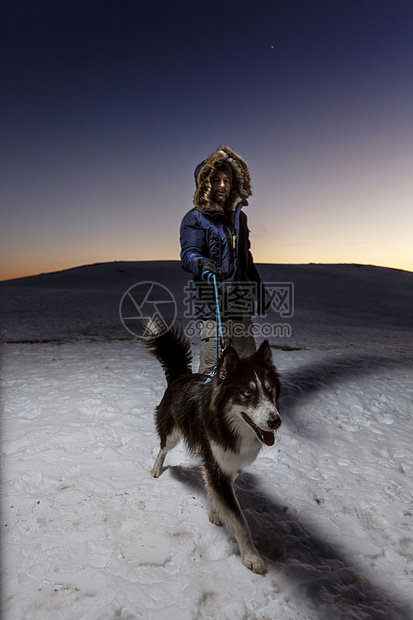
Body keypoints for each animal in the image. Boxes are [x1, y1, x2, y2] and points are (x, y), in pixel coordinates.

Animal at [146, 326, 280, 572]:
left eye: (270, 389)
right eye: (247, 392)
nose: (276, 421)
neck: (228, 425)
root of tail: (181, 377)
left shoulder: (230, 463)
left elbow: (221, 495)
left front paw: (215, 511)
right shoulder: (215, 463)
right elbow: (239, 519)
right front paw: (251, 556)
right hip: (172, 432)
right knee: (162, 448)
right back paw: (156, 469)